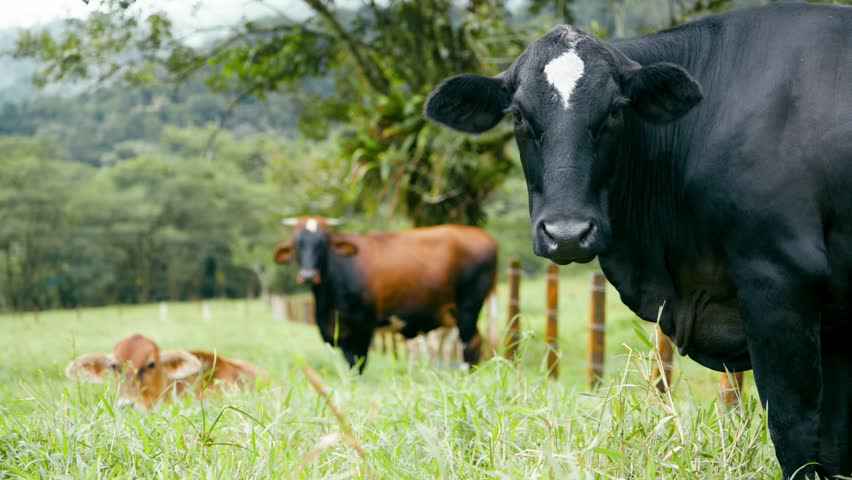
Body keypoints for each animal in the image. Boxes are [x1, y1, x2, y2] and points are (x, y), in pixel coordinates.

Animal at [272, 216, 497, 373]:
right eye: (297, 244)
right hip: (451, 314)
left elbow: (358, 362)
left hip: (468, 306)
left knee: (471, 343)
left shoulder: (362, 326)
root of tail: (486, 236)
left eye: (322, 243)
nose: (308, 275)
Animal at [424, 3, 851, 478]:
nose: (567, 234)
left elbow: (794, 432)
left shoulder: (779, 283)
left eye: (614, 111)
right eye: (518, 115)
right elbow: (834, 444)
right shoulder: (834, 326)